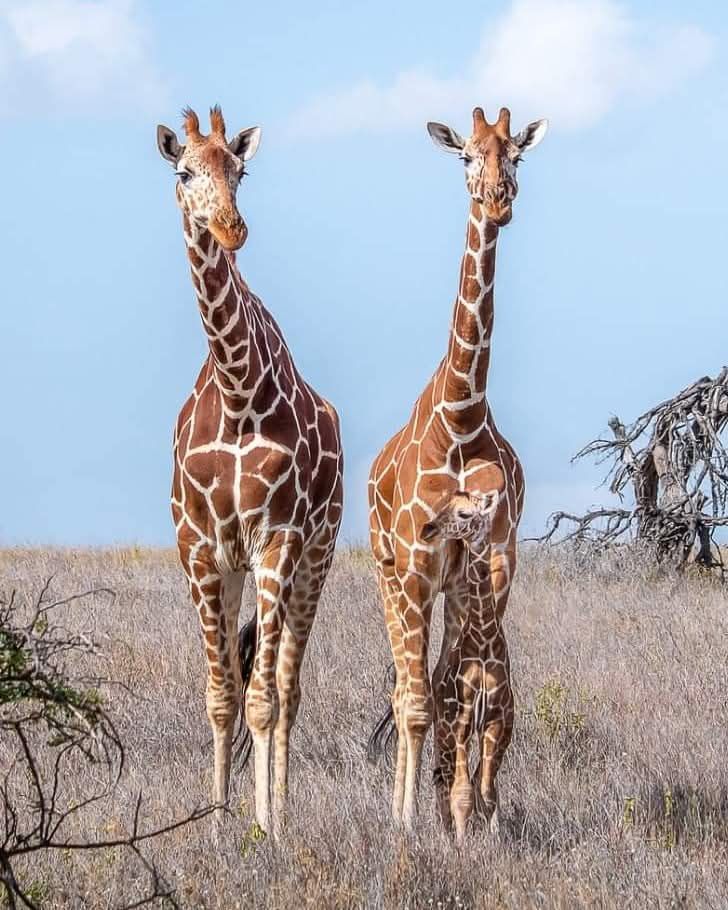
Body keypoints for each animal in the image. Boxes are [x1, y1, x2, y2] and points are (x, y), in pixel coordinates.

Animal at [156, 106, 343, 837]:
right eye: (184, 171)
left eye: (240, 170)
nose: (231, 228)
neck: (239, 391)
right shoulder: (202, 548)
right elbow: (221, 696)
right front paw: (213, 823)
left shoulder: (278, 538)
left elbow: (263, 699)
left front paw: (265, 828)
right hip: (242, 568)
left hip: (314, 558)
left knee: (287, 689)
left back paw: (283, 812)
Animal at [421, 489, 514, 842]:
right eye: (443, 504)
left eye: (464, 514)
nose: (428, 529)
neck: (485, 637)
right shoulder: (460, 718)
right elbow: (462, 793)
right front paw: (461, 845)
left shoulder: (498, 718)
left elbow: (486, 791)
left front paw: (496, 840)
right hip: (444, 728)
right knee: (443, 778)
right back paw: (447, 832)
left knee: (468, 780)